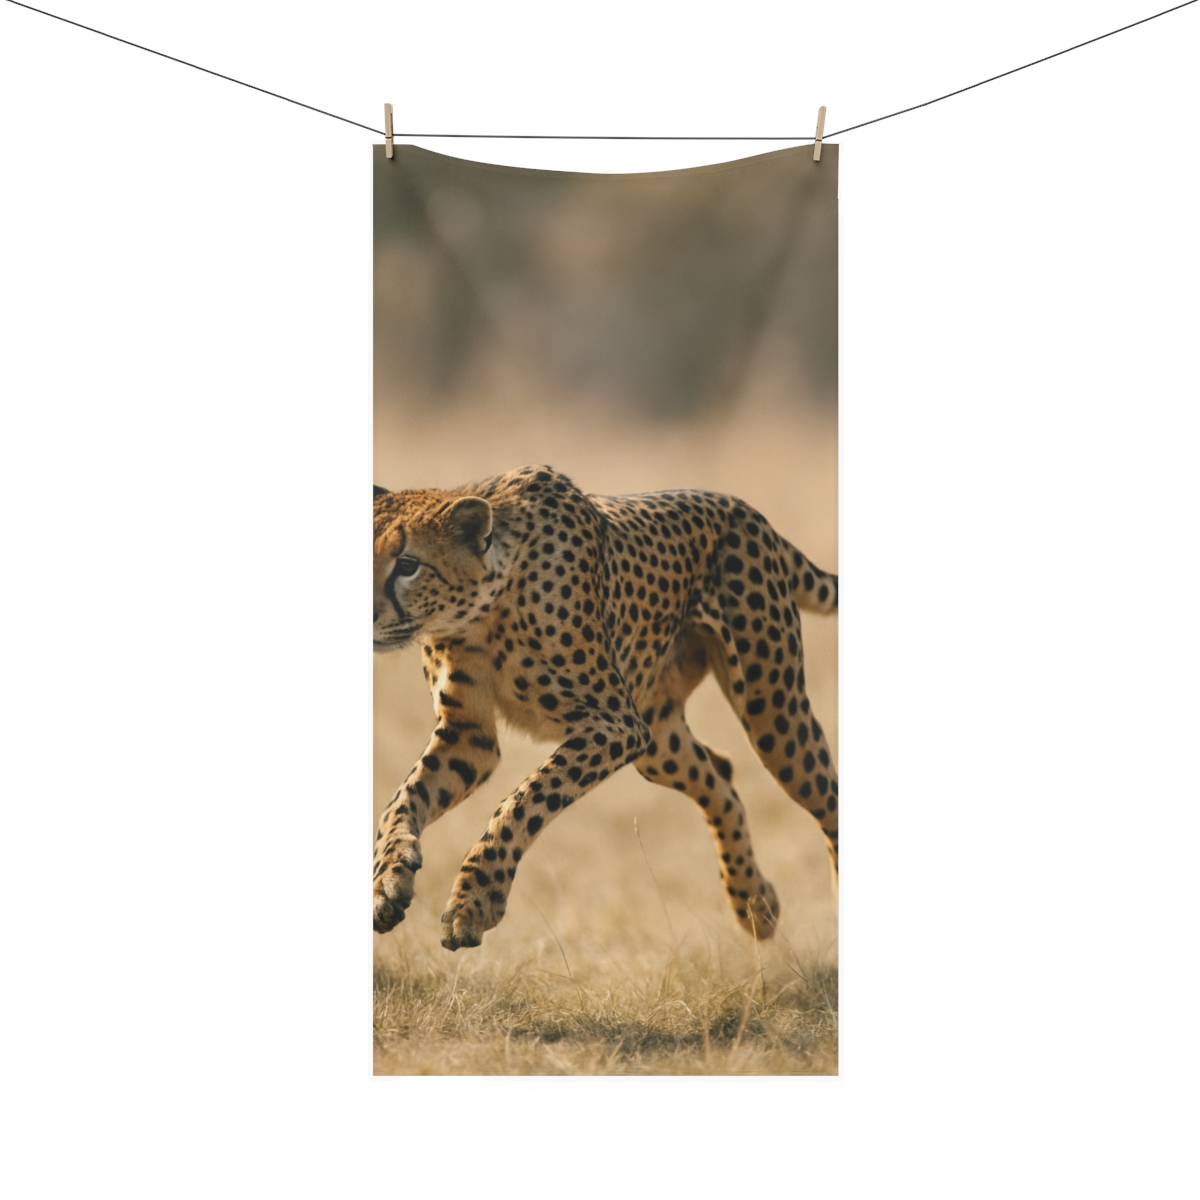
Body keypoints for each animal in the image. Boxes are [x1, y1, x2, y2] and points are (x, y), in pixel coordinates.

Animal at [373, 465, 838, 951]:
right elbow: (402, 800)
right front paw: (389, 880)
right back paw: (753, 903)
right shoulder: (469, 736)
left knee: (828, 800)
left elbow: (523, 802)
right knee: (722, 775)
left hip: (773, 716)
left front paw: (474, 904)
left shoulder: (615, 725)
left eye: (407, 565)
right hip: (660, 743)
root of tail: (745, 510)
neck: (482, 610)